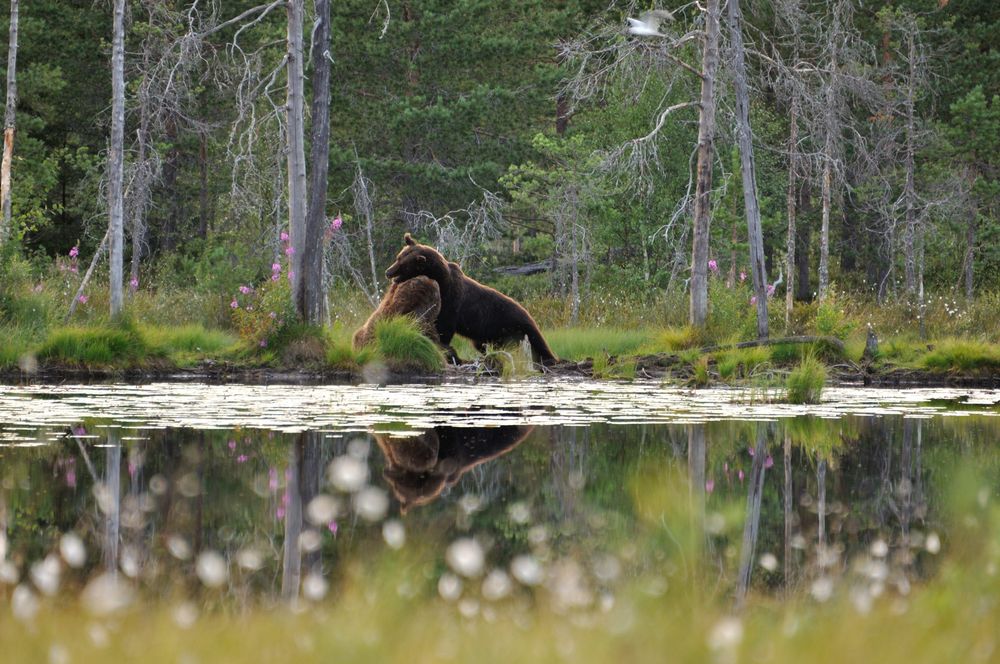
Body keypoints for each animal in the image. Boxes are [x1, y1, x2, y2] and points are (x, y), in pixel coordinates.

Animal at [384, 232, 560, 368]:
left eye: (403, 264)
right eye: (398, 257)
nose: (388, 271)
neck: (440, 278)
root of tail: (530, 315)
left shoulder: (452, 298)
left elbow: (445, 326)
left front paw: (443, 345)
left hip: (511, 326)